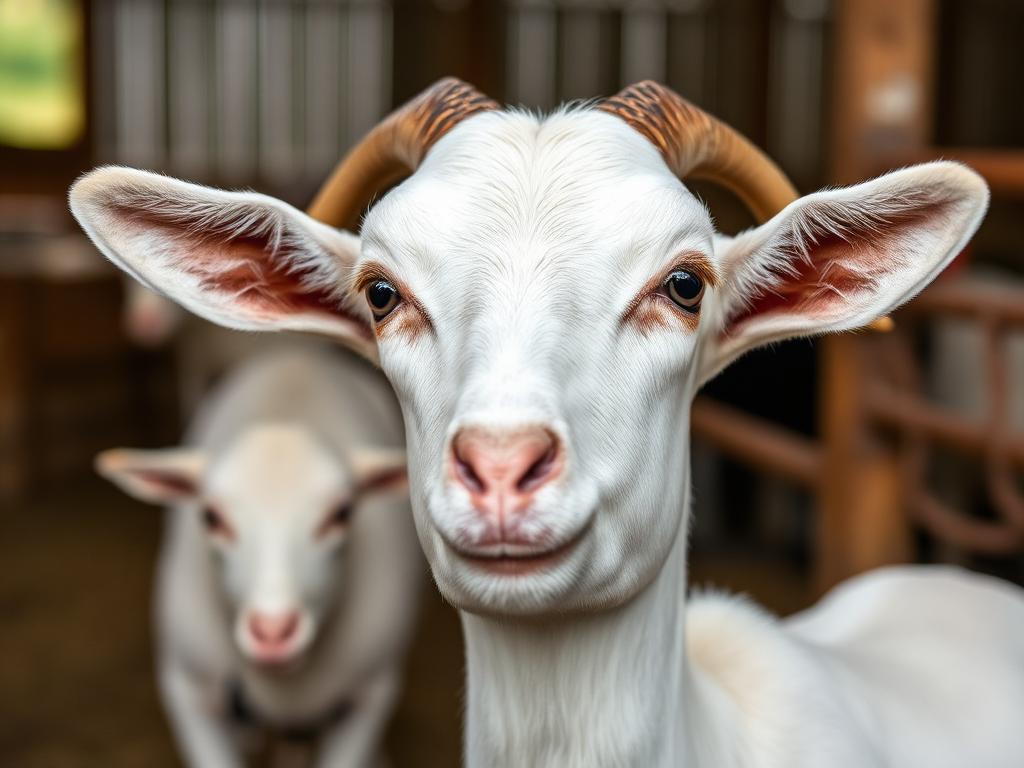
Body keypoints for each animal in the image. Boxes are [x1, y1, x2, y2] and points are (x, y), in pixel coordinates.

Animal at [96, 344, 421, 767]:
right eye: (211, 517)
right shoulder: (186, 690)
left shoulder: (373, 692)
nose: (273, 631)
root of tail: (297, 353)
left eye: (342, 514)